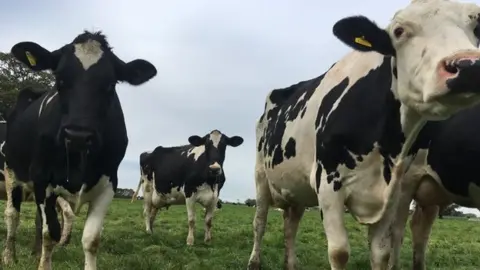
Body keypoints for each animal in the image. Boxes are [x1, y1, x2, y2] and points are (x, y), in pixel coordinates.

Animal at [3, 30, 158, 270]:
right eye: (60, 79)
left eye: (110, 84)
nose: (78, 135)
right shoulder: (41, 179)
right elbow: (51, 234)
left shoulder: (109, 184)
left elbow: (91, 239)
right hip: (11, 171)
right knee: (12, 215)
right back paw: (10, 256)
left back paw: (34, 253)